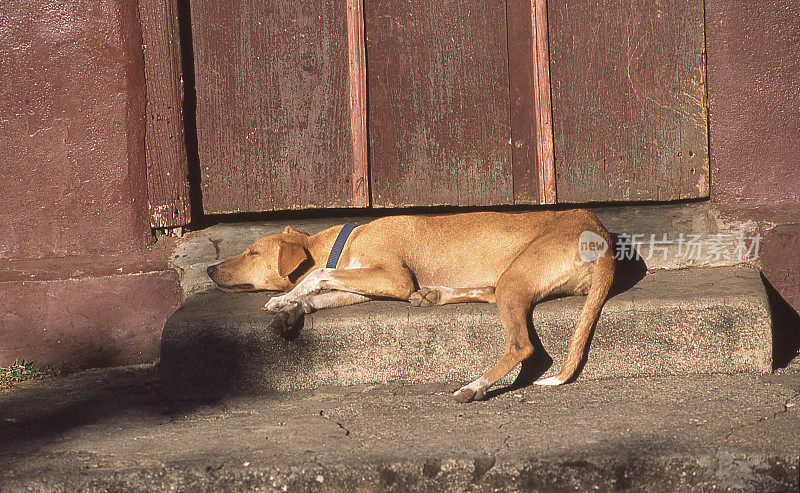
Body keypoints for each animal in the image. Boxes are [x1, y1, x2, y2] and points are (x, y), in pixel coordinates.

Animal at [205, 209, 612, 402]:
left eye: (252, 252)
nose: (209, 268)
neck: (345, 242)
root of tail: (601, 232)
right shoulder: (365, 286)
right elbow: (322, 290)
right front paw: (294, 308)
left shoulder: (393, 279)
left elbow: (317, 273)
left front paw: (283, 298)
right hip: (509, 280)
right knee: (488, 293)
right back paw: (436, 295)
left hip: (516, 282)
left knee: (523, 346)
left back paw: (474, 386)